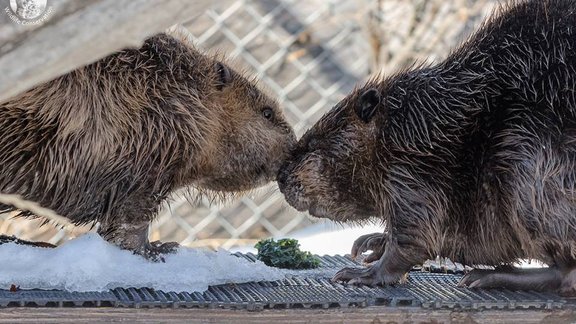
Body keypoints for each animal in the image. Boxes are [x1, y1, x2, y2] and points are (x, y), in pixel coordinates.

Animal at [280, 0, 576, 296]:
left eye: (312, 143)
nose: (281, 176)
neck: (419, 120)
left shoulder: (411, 171)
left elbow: (415, 236)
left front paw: (362, 273)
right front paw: (370, 243)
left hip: (522, 158)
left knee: (566, 274)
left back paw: (485, 276)